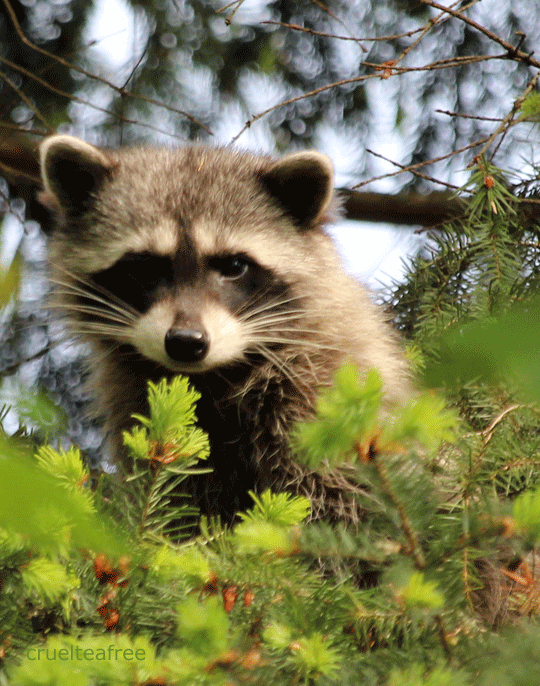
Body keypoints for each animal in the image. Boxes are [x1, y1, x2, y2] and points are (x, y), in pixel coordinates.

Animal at [38, 134, 410, 524]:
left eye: (233, 266)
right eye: (144, 267)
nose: (186, 342)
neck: (212, 376)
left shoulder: (322, 389)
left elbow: (341, 496)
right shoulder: (137, 403)